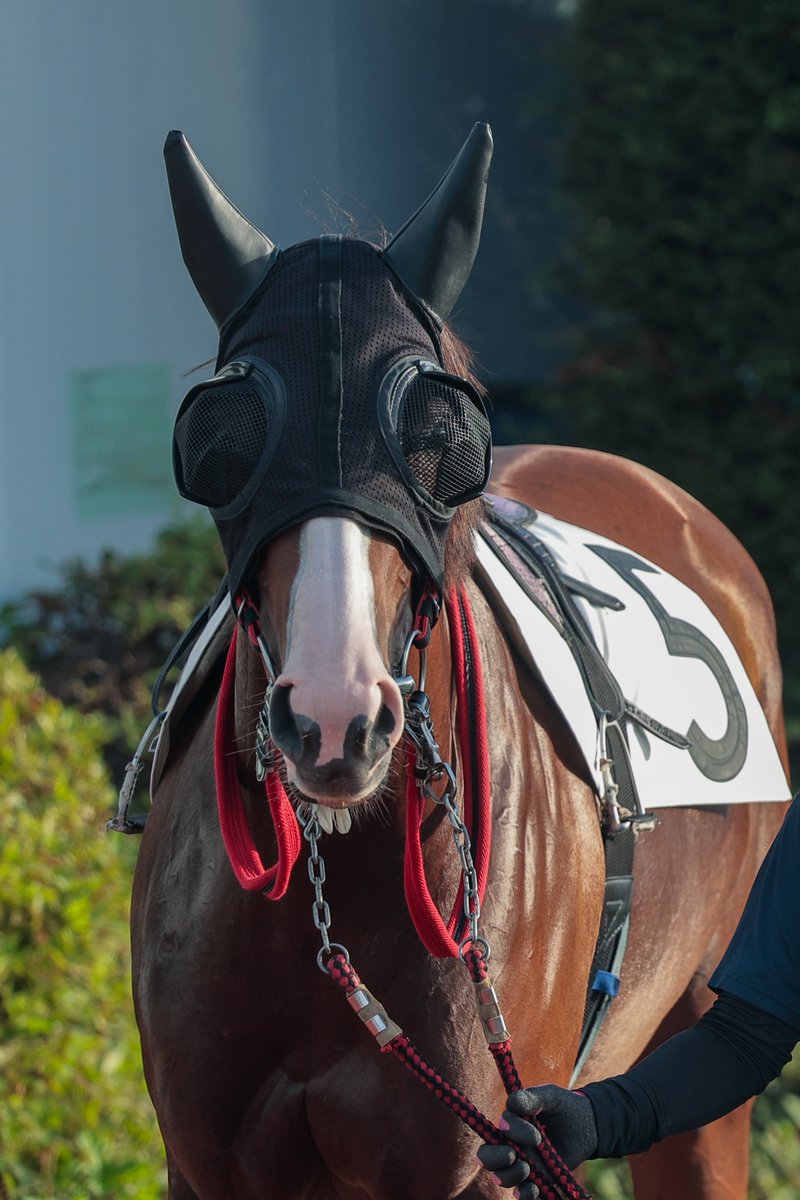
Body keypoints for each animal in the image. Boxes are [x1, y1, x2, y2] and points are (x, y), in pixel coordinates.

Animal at [130, 125, 789, 1200]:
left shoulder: (487, 1161)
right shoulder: (208, 1165)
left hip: (700, 1057)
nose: (333, 719)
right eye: (221, 436)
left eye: (441, 433)